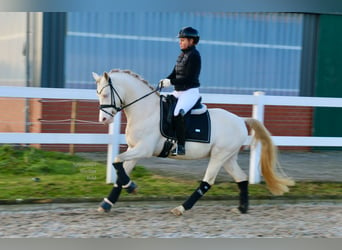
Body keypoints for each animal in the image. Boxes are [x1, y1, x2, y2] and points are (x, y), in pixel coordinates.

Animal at [93, 69, 294, 216]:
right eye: (97, 94)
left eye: (105, 94)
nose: (103, 120)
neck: (145, 110)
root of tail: (240, 120)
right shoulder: (134, 149)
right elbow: (120, 173)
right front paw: (109, 202)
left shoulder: (144, 149)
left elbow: (116, 160)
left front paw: (131, 187)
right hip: (228, 158)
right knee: (241, 178)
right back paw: (241, 208)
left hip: (219, 156)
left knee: (207, 181)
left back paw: (181, 208)